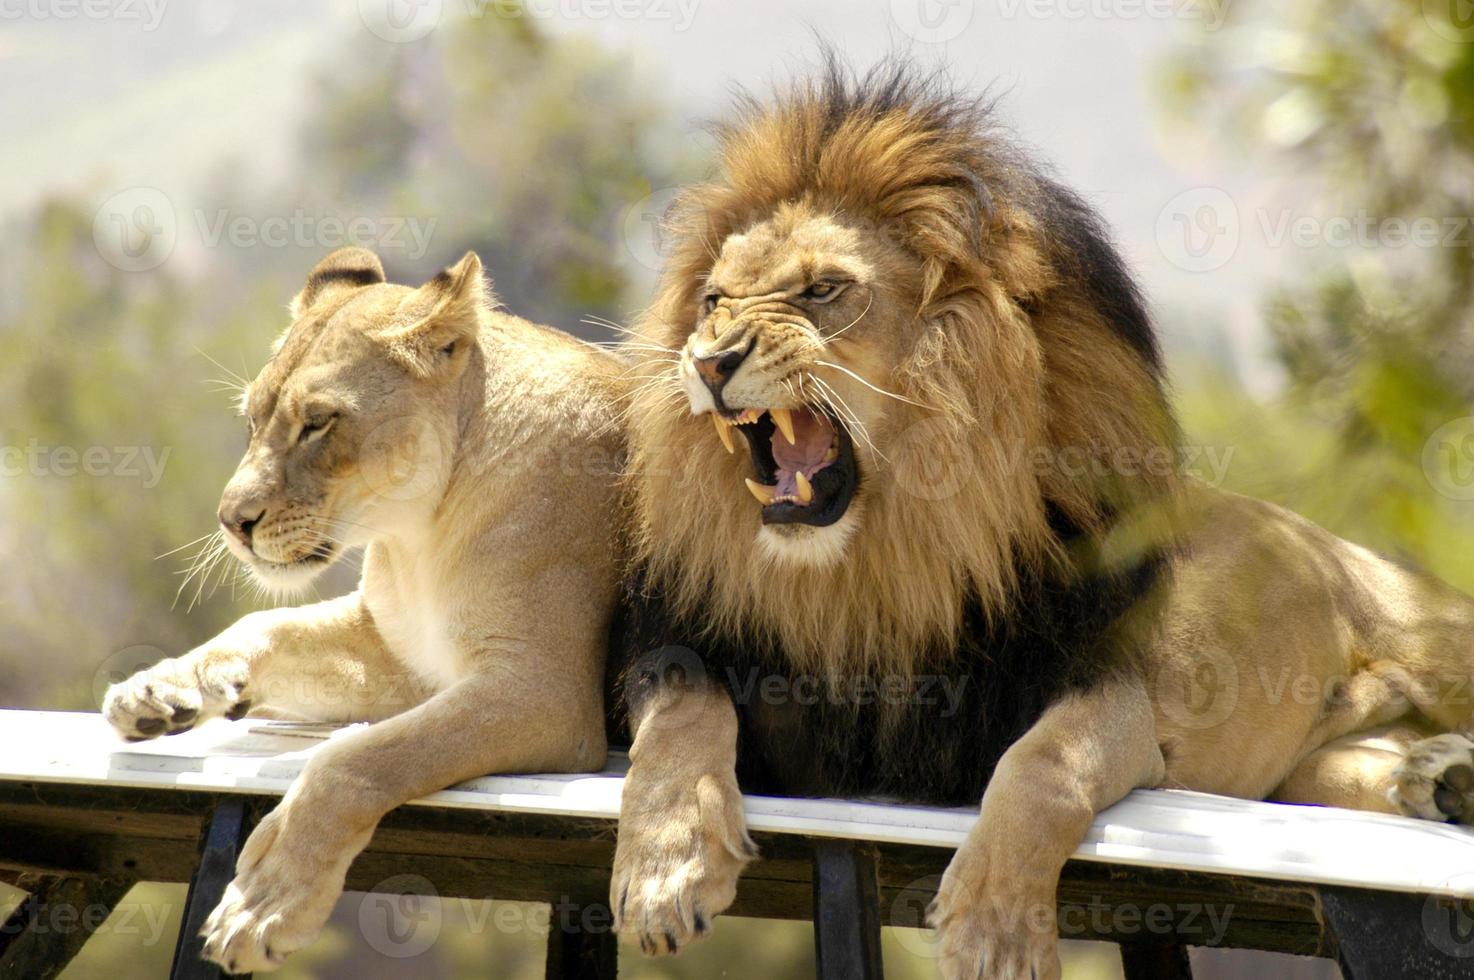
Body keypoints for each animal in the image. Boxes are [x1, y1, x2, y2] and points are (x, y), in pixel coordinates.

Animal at [102, 246, 622, 972]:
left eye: (318, 422)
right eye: (252, 420)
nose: (232, 522)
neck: (419, 534)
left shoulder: (546, 695)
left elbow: (358, 758)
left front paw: (267, 902)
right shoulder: (401, 654)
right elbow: (265, 624)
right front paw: (160, 688)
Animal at [604, 61, 1474, 978]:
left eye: (823, 290)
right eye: (712, 300)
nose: (709, 361)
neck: (870, 571)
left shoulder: (1104, 687)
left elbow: (1043, 766)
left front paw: (996, 929)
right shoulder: (690, 655)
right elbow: (681, 708)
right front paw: (666, 867)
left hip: (1433, 638)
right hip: (1309, 770)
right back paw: (1438, 778)